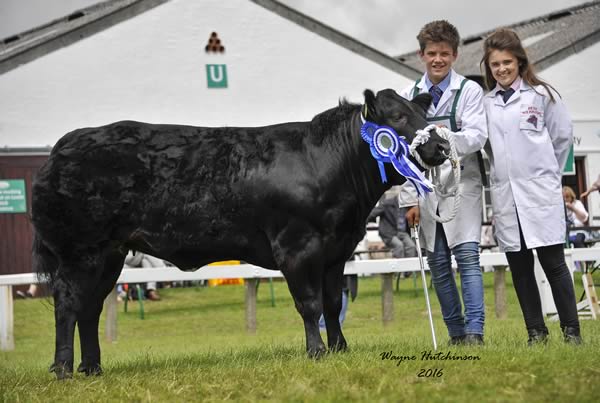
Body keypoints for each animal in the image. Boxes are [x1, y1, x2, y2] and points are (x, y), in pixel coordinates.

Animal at [30, 88, 448, 378]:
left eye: (424, 114)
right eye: (397, 117)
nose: (441, 145)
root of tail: (64, 145)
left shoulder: (337, 250)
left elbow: (332, 303)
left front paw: (340, 349)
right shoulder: (297, 248)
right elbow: (310, 304)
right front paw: (316, 352)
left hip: (110, 254)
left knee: (90, 309)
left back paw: (93, 368)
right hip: (79, 252)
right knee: (68, 304)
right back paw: (64, 369)